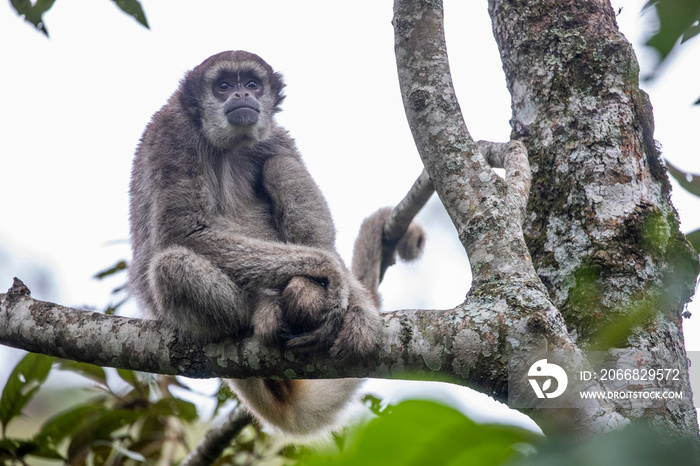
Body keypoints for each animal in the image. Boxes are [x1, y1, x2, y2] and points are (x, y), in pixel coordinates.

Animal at [128, 51, 424, 436]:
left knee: (280, 165)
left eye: (253, 84)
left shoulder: (278, 137)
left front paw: (358, 309)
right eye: (223, 85)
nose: (241, 95)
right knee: (169, 266)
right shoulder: (173, 133)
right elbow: (183, 233)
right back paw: (263, 310)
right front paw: (325, 269)